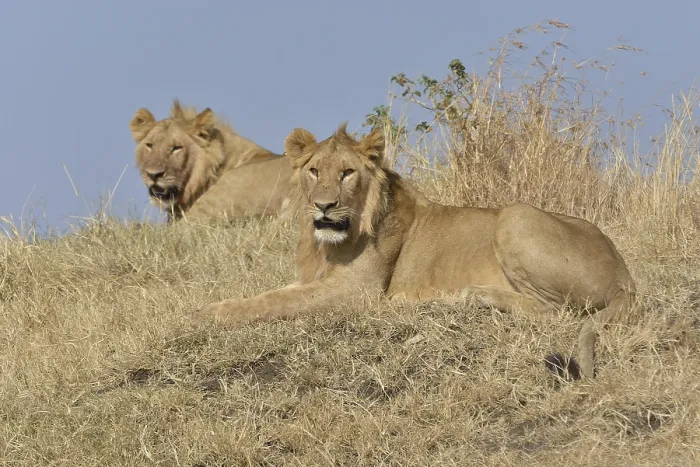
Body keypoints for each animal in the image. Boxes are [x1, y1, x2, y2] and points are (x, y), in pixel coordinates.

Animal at [194, 123, 637, 380]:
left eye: (348, 173)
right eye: (314, 171)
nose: (324, 206)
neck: (328, 244)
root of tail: (624, 275)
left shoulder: (357, 291)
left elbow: (276, 303)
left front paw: (207, 315)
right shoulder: (314, 278)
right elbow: (270, 294)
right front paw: (215, 306)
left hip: (515, 214)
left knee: (556, 311)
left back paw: (473, 295)